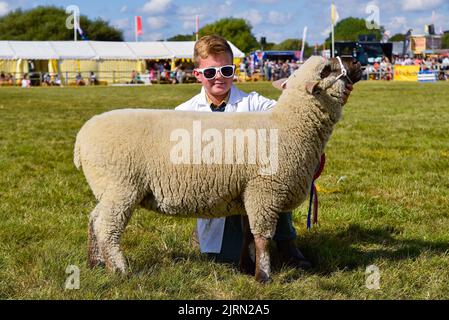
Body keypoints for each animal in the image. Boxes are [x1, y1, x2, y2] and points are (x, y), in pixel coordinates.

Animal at [72, 55, 360, 282]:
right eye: (328, 69)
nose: (356, 61)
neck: (289, 123)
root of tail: (81, 138)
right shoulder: (265, 191)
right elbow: (262, 237)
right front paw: (263, 276)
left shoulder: (249, 193)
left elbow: (248, 236)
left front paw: (247, 268)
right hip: (121, 187)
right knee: (106, 227)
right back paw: (119, 270)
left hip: (109, 190)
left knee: (94, 219)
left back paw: (95, 263)